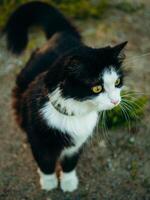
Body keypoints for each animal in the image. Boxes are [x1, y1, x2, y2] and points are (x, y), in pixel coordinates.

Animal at [4, 1, 127, 192]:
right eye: (97, 88)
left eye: (117, 82)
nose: (115, 101)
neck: (74, 113)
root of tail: (63, 33)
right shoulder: (39, 141)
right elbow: (45, 163)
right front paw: (49, 183)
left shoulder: (77, 144)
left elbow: (70, 163)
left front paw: (68, 183)